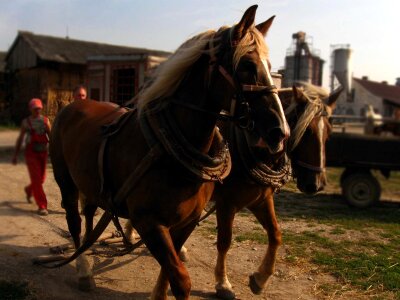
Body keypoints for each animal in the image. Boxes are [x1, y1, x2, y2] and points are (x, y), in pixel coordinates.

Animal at [49, 5, 288, 300]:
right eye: (247, 65)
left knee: (89, 215)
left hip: (91, 185)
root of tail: (72, 105)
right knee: (74, 222)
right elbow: (182, 278)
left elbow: (171, 268)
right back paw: (84, 270)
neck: (168, 149)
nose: (280, 131)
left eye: (271, 68)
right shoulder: (150, 221)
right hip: (66, 182)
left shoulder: (187, 221)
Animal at [211, 84, 342, 298]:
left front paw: (261, 278)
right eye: (307, 132)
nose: (316, 184)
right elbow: (224, 241)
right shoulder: (225, 204)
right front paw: (223, 283)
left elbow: (275, 234)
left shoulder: (261, 200)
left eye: (329, 133)